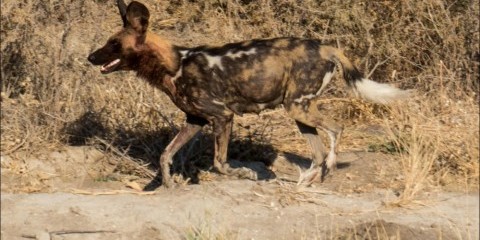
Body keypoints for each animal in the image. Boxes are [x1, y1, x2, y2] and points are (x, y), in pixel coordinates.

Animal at [88, 0, 410, 188]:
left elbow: (219, 164)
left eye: (114, 44)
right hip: (299, 112)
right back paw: (306, 181)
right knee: (316, 152)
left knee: (336, 129)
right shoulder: (195, 120)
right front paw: (166, 183)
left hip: (299, 108)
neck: (173, 64)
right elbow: (166, 154)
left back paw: (326, 169)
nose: (90, 57)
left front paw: (246, 174)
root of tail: (326, 47)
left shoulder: (222, 116)